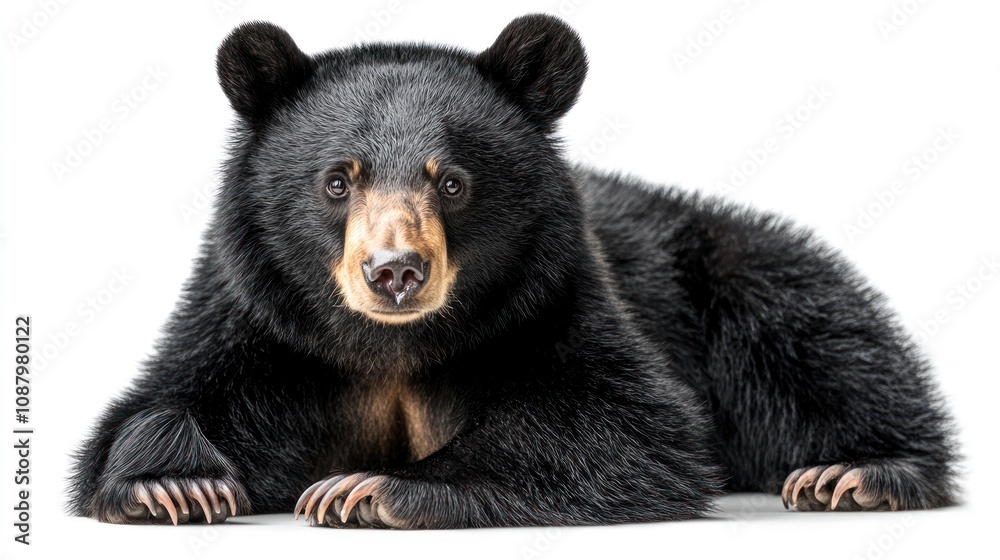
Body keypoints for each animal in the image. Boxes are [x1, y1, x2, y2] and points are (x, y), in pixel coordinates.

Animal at [67, 14, 958, 528]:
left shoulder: (552, 297)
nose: (395, 272)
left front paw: (370, 488)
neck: (394, 346)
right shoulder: (257, 316)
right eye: (337, 180)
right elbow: (164, 399)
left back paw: (856, 471)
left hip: (742, 271)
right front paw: (172, 484)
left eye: (452, 181)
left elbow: (630, 423)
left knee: (822, 340)